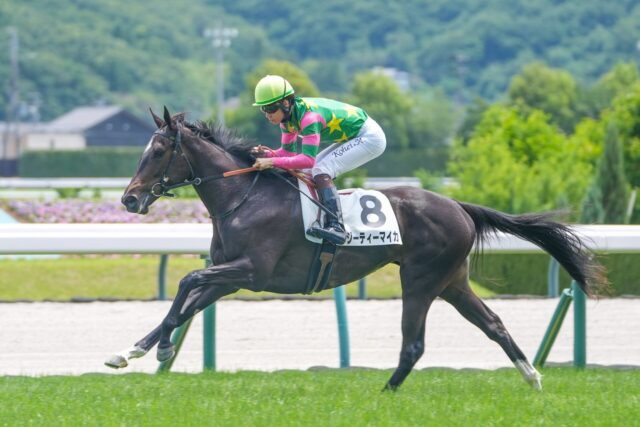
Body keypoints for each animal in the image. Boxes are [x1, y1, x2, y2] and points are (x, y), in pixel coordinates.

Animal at [107, 106, 605, 391]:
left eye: (158, 151)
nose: (129, 199)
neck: (242, 196)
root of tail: (458, 205)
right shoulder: (230, 275)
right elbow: (186, 303)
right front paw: (130, 352)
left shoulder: (250, 271)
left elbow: (186, 281)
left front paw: (162, 349)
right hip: (454, 282)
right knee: (494, 325)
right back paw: (533, 377)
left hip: (421, 279)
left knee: (414, 344)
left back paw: (384, 394)